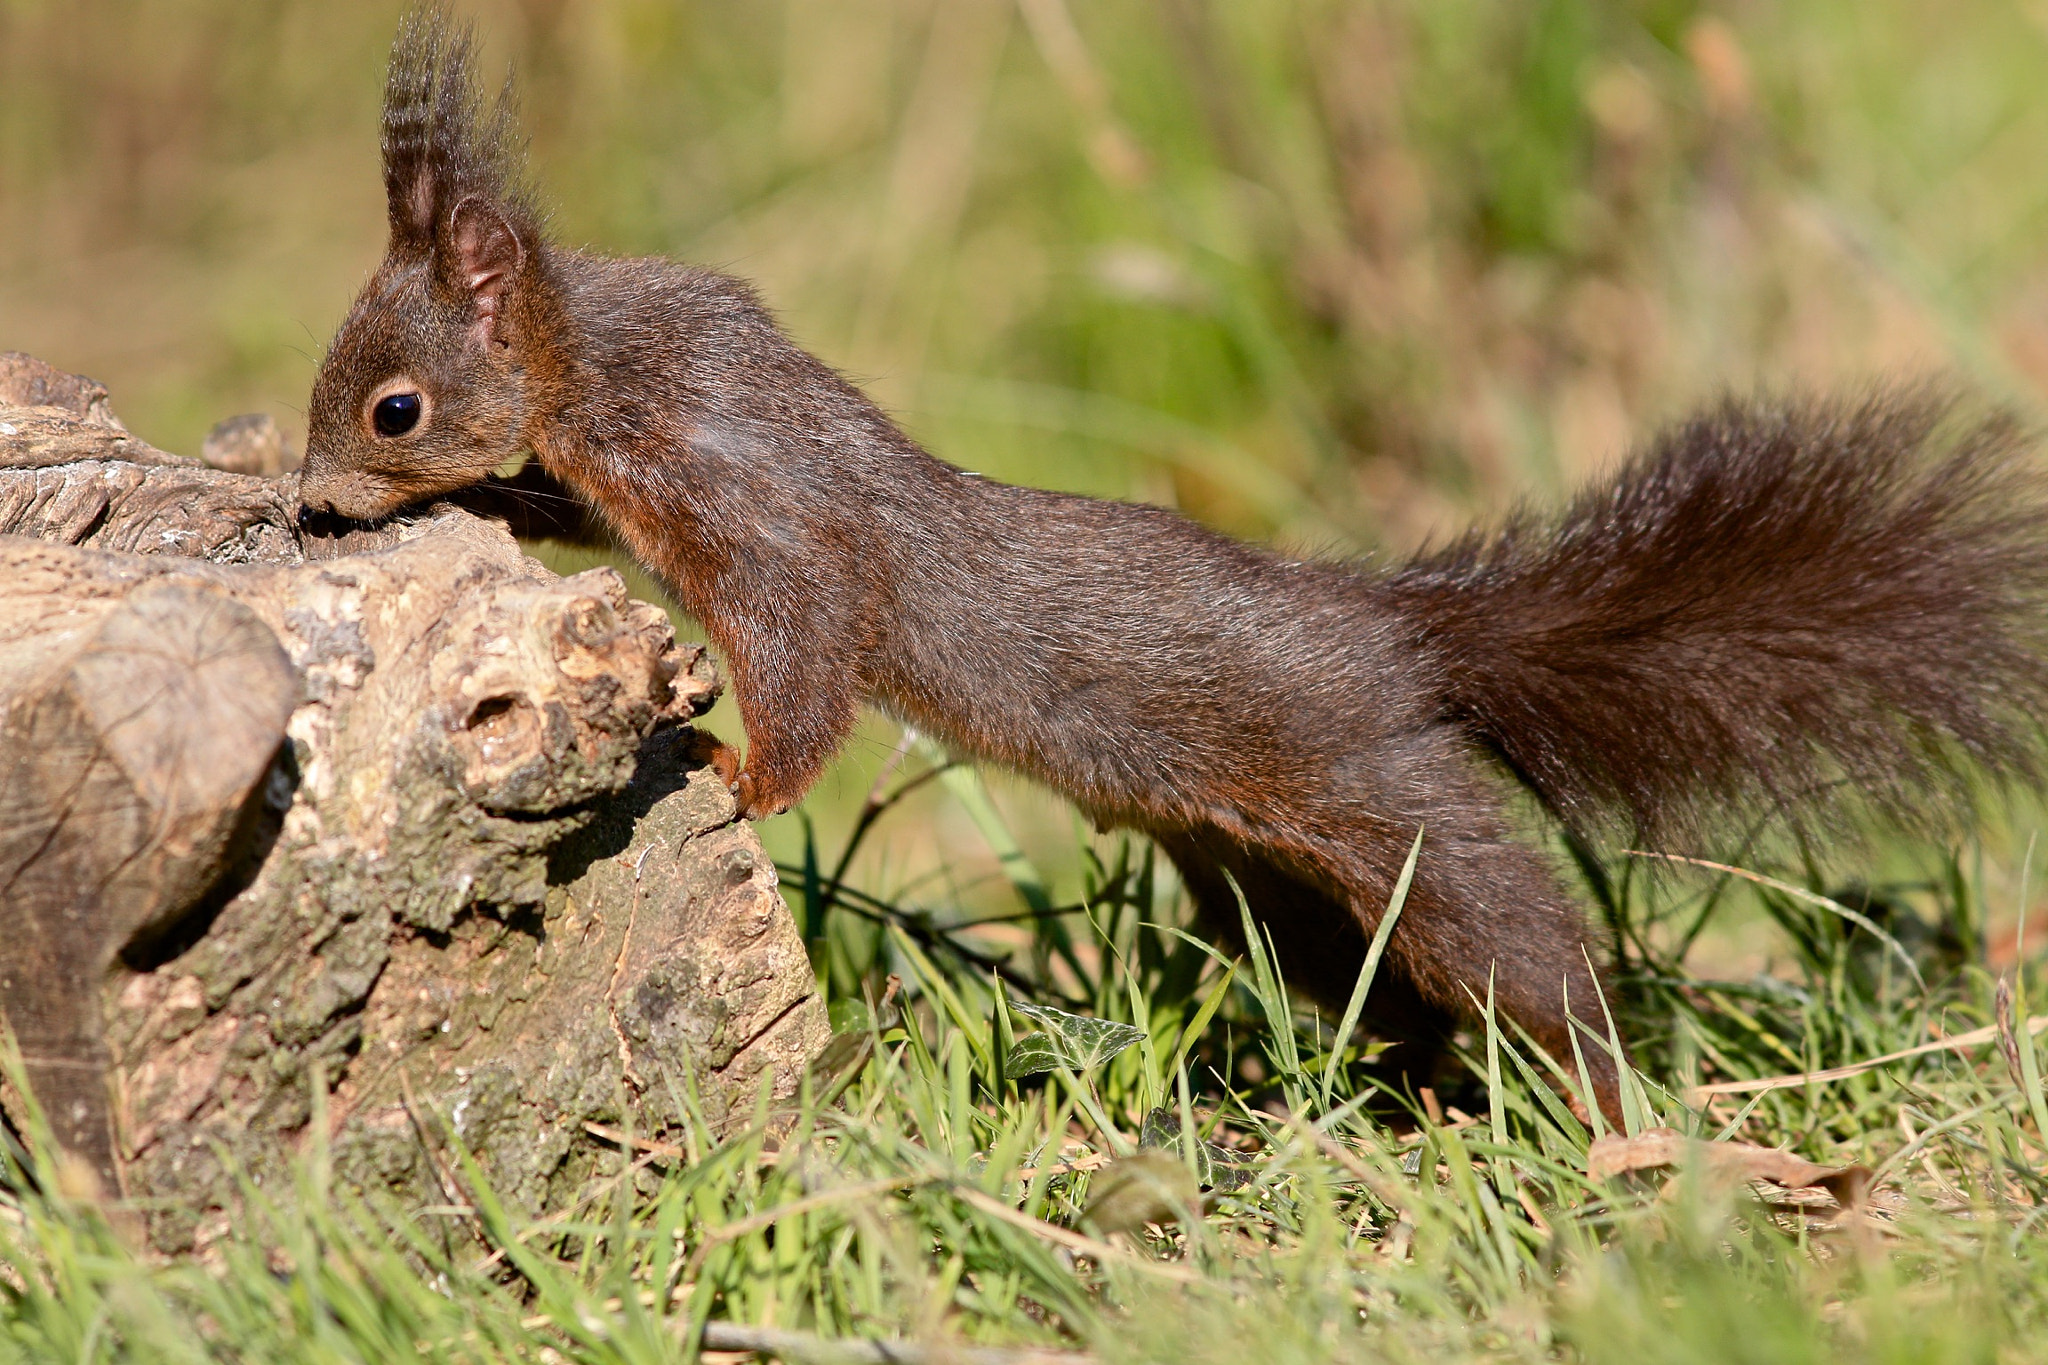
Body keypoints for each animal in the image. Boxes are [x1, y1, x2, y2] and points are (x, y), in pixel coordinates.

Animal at [297, 13, 2048, 1126]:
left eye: (393, 407)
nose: (313, 505)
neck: (606, 363)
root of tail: (1396, 635)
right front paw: (524, 511)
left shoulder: (763, 512)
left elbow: (809, 657)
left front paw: (739, 776)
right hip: (1264, 869)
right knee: (1350, 973)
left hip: (1386, 798)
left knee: (1525, 948)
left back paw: (1619, 1117)